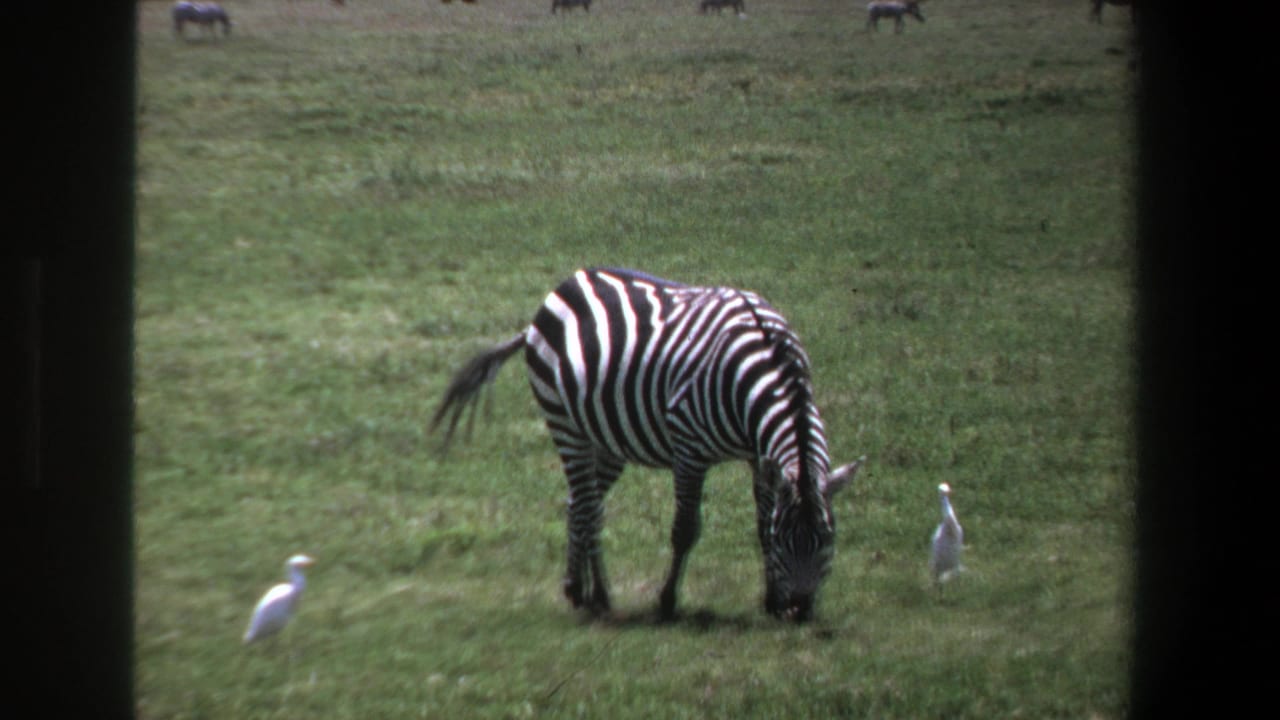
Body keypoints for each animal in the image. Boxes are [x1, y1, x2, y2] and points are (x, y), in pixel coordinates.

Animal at [432, 268, 863, 622]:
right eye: (788, 540)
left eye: (828, 538)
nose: (800, 611)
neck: (767, 366)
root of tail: (562, 287)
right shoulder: (690, 449)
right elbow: (685, 529)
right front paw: (667, 601)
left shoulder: (761, 457)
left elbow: (761, 522)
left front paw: (770, 600)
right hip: (565, 424)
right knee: (587, 506)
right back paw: (591, 595)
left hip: (605, 439)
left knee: (581, 504)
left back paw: (584, 591)